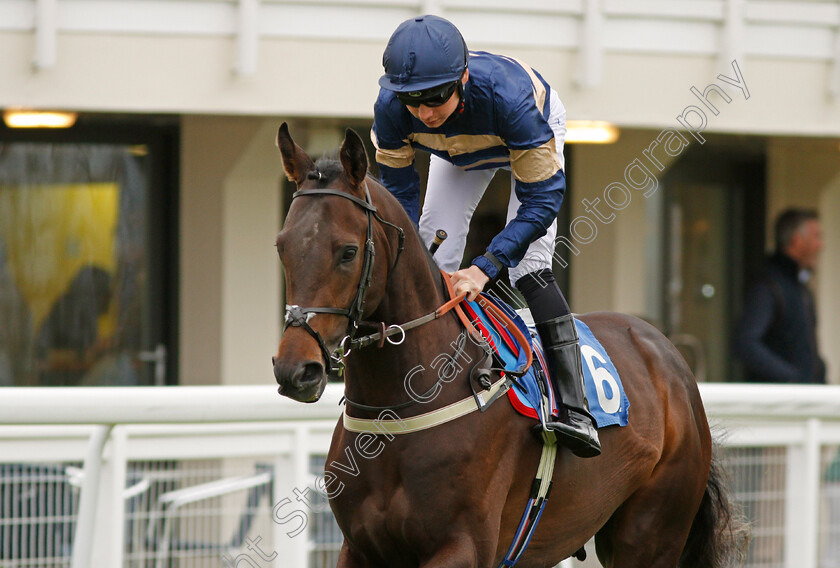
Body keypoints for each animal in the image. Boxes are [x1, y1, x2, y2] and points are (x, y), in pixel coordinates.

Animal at [272, 124, 744, 568]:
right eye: (281, 246)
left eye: (348, 252)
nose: (295, 370)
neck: (402, 408)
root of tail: (665, 352)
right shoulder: (360, 549)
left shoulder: (463, 547)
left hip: (652, 532)